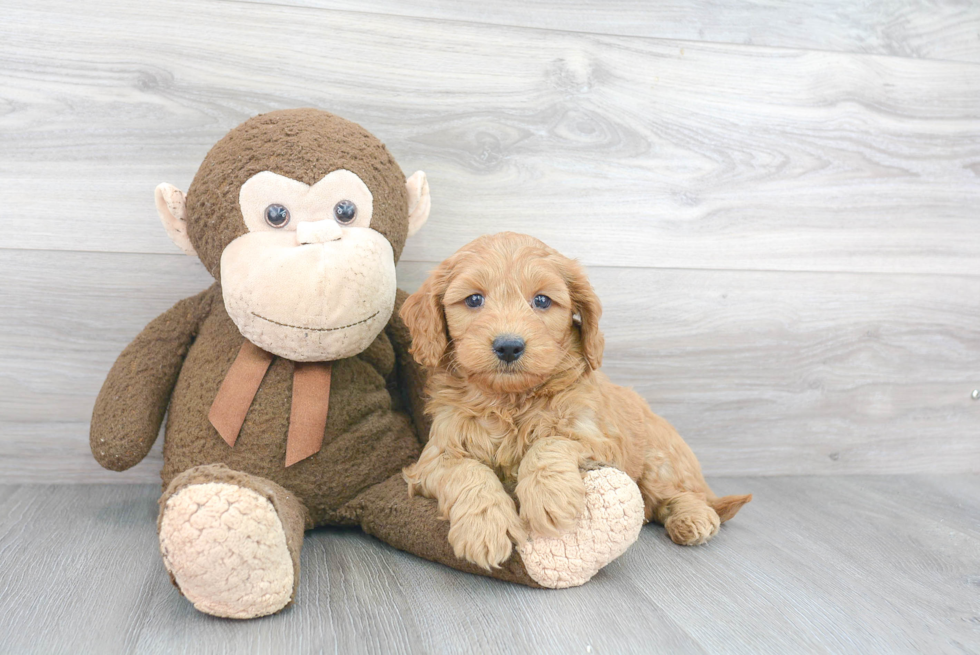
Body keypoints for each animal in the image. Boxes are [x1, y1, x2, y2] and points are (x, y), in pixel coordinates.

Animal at [398, 233, 752, 572]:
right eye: (474, 300)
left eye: (542, 300)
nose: (509, 346)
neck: (510, 400)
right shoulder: (434, 457)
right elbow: (467, 471)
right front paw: (485, 527)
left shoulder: (600, 438)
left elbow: (551, 443)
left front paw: (548, 496)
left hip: (659, 460)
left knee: (682, 494)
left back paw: (693, 518)